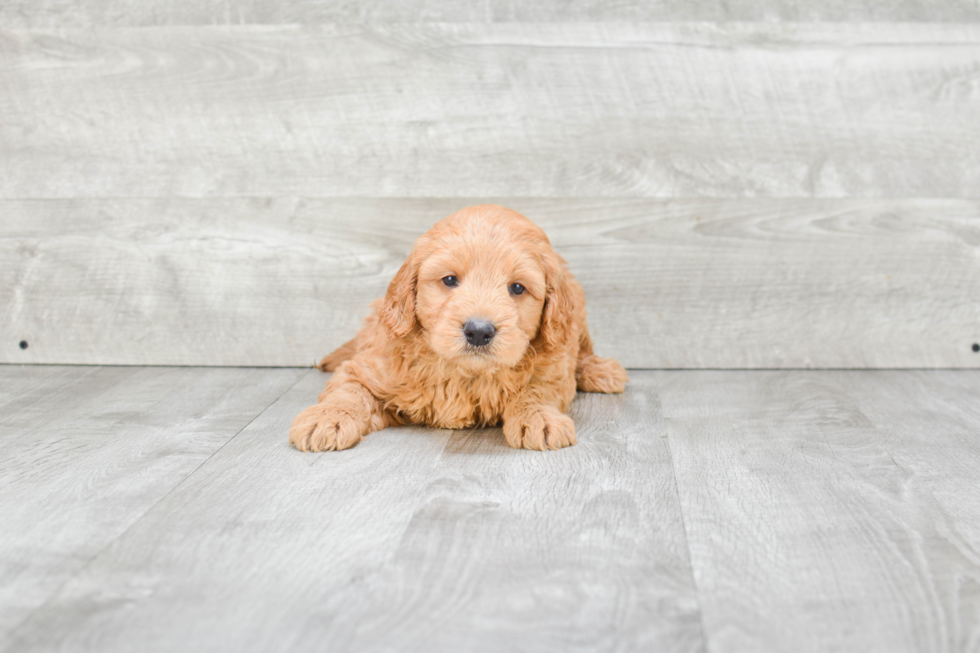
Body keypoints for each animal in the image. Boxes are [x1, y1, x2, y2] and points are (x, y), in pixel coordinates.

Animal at [290, 206, 628, 450]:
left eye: (518, 288)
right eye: (450, 280)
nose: (478, 331)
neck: (464, 372)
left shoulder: (552, 373)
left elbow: (536, 390)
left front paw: (539, 418)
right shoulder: (367, 368)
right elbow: (347, 391)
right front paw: (326, 419)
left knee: (581, 351)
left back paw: (599, 370)